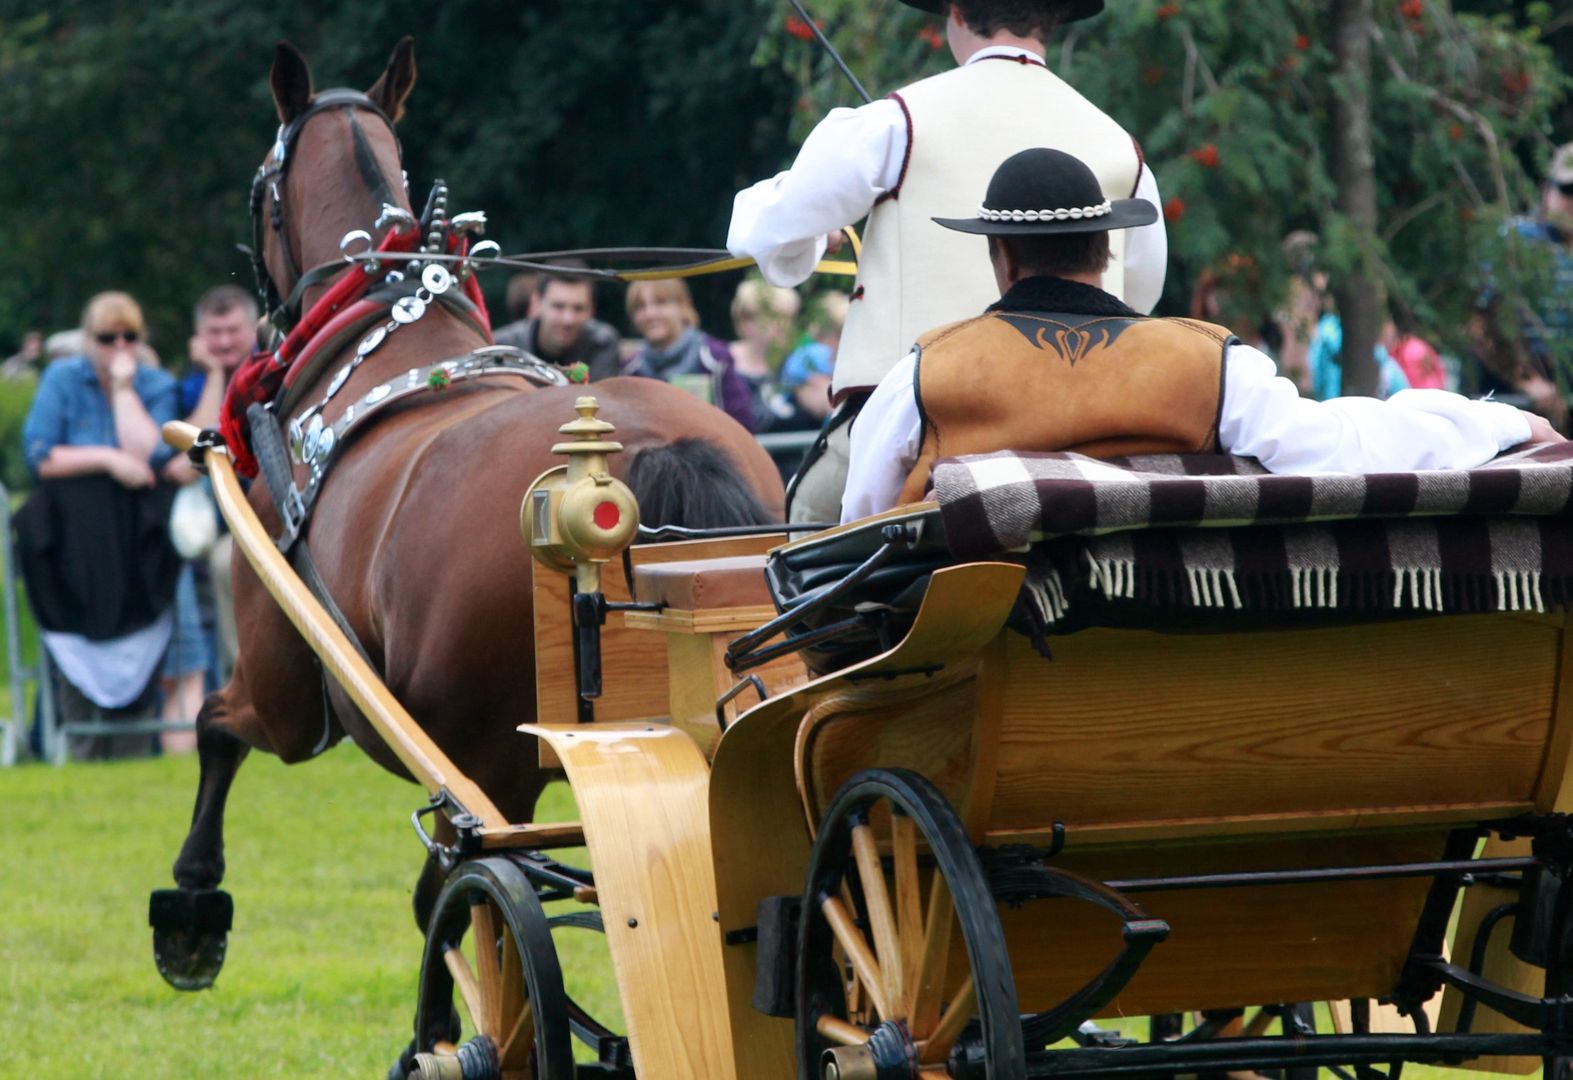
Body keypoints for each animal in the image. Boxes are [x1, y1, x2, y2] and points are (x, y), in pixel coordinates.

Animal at [153, 46, 780, 999]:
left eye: (261, 187)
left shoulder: (286, 688)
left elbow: (214, 727)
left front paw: (191, 906)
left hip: (484, 772)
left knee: (465, 907)